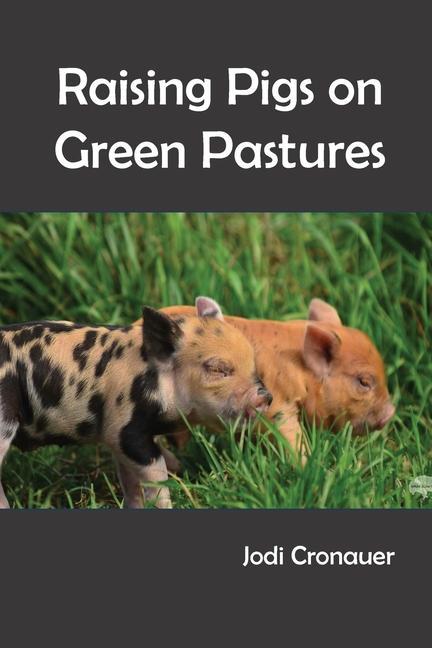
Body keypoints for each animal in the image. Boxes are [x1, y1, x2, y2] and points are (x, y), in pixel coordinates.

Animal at [0, 297, 272, 509]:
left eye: (252, 363)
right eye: (217, 369)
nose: (265, 396)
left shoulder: (118, 437)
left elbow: (131, 481)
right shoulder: (124, 429)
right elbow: (155, 473)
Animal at [138, 298, 395, 459]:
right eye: (364, 382)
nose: (391, 412)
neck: (298, 369)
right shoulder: (278, 407)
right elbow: (292, 439)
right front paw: (308, 466)